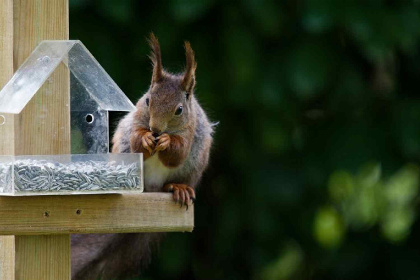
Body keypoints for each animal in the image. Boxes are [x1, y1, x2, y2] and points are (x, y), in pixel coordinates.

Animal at [71, 34, 213, 280]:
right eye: (147, 100)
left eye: (179, 110)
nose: (155, 130)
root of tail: (152, 188)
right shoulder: (136, 120)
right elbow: (137, 140)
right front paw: (146, 139)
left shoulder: (190, 131)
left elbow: (177, 153)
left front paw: (166, 142)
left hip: (194, 165)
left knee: (174, 181)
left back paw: (178, 188)